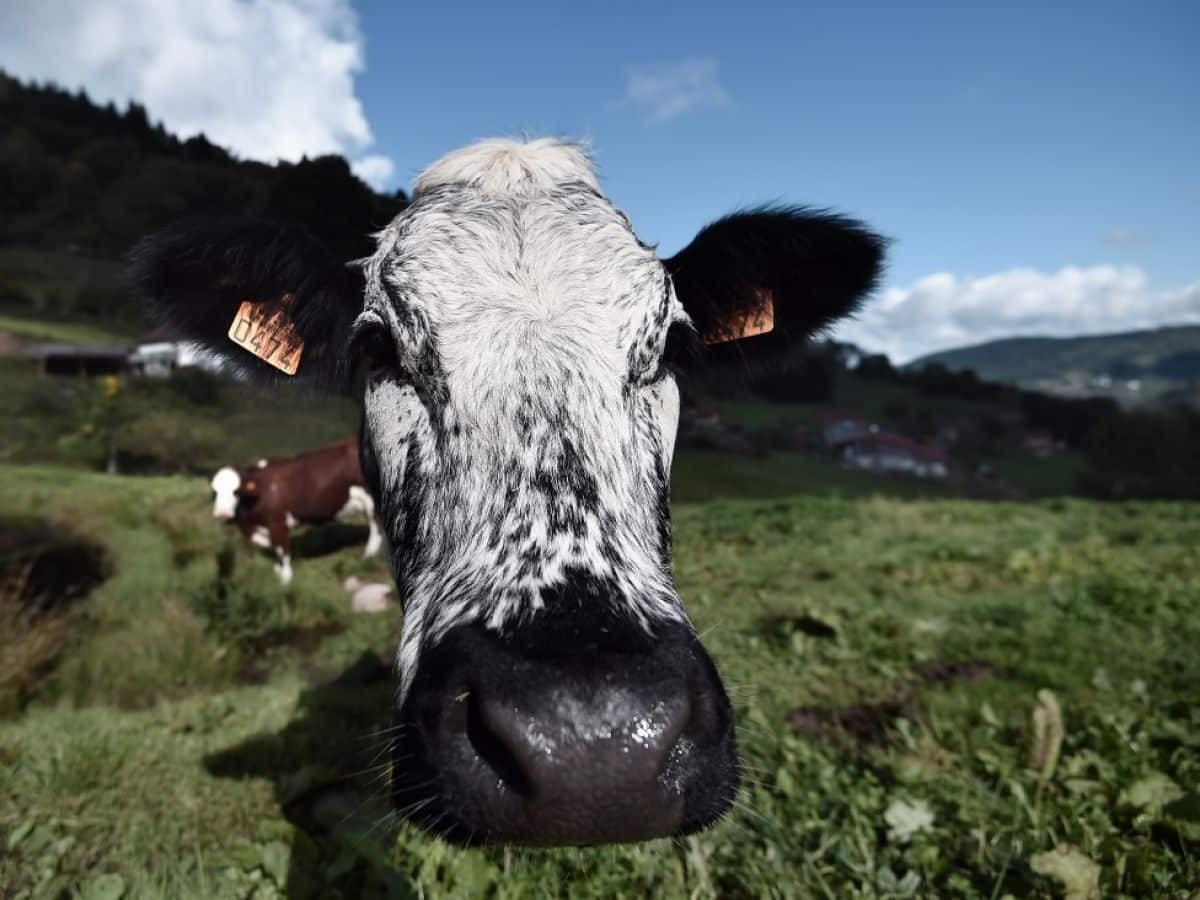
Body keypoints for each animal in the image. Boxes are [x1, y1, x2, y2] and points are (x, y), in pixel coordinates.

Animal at [210, 438, 382, 584]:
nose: (222, 513)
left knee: (376, 528)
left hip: (371, 499)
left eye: (236, 491)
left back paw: (368, 556)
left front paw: (285, 580)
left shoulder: (278, 523)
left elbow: (282, 551)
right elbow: (273, 549)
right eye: (215, 492)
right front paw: (277, 572)